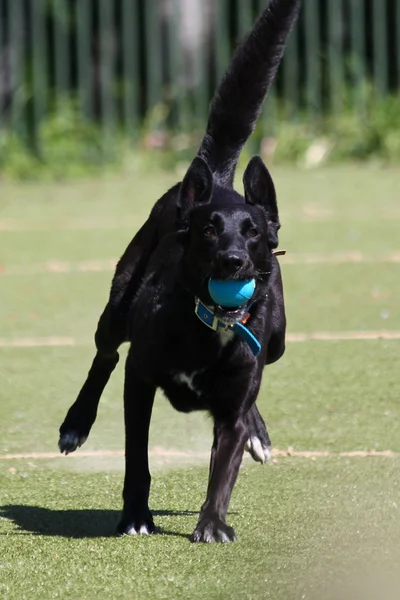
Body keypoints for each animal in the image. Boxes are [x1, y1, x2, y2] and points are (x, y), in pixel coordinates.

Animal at [58, 0, 300, 540]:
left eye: (253, 233)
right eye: (209, 231)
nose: (233, 260)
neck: (209, 325)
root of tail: (216, 178)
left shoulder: (231, 407)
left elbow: (224, 465)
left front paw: (213, 524)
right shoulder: (139, 380)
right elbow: (137, 458)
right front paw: (135, 515)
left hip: (276, 342)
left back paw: (259, 433)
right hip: (119, 304)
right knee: (104, 355)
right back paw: (75, 423)